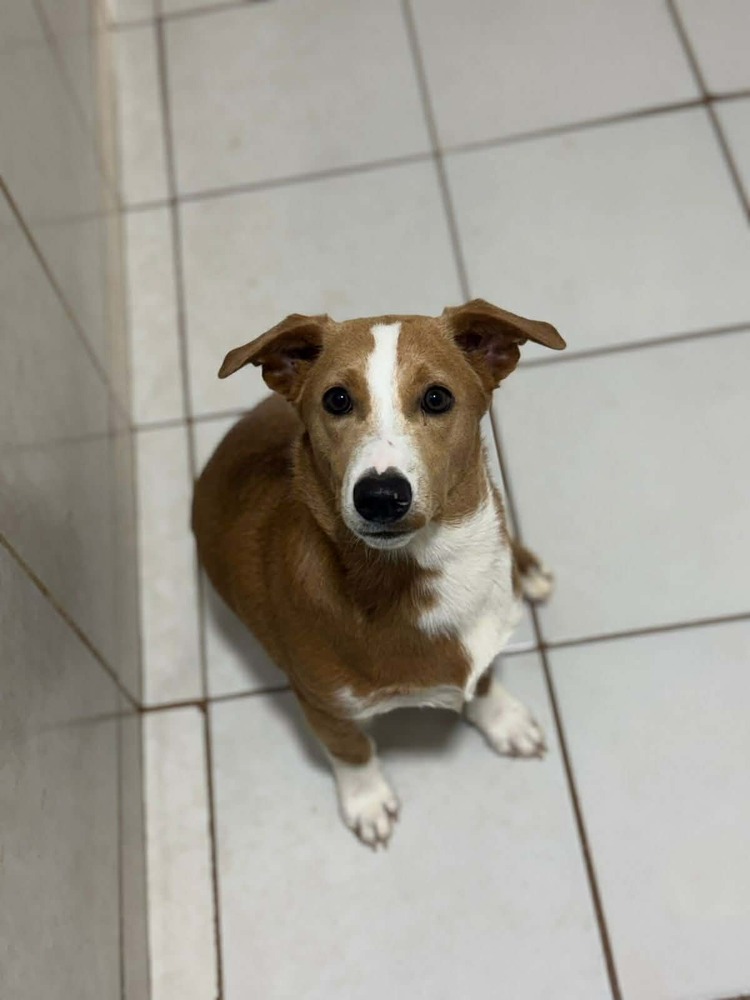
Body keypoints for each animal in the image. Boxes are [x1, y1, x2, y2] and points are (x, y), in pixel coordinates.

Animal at [192, 299, 565, 848]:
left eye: (437, 397)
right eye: (337, 399)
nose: (381, 496)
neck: (423, 570)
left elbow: (484, 680)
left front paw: (502, 719)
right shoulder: (321, 704)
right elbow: (352, 751)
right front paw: (367, 802)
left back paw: (529, 571)